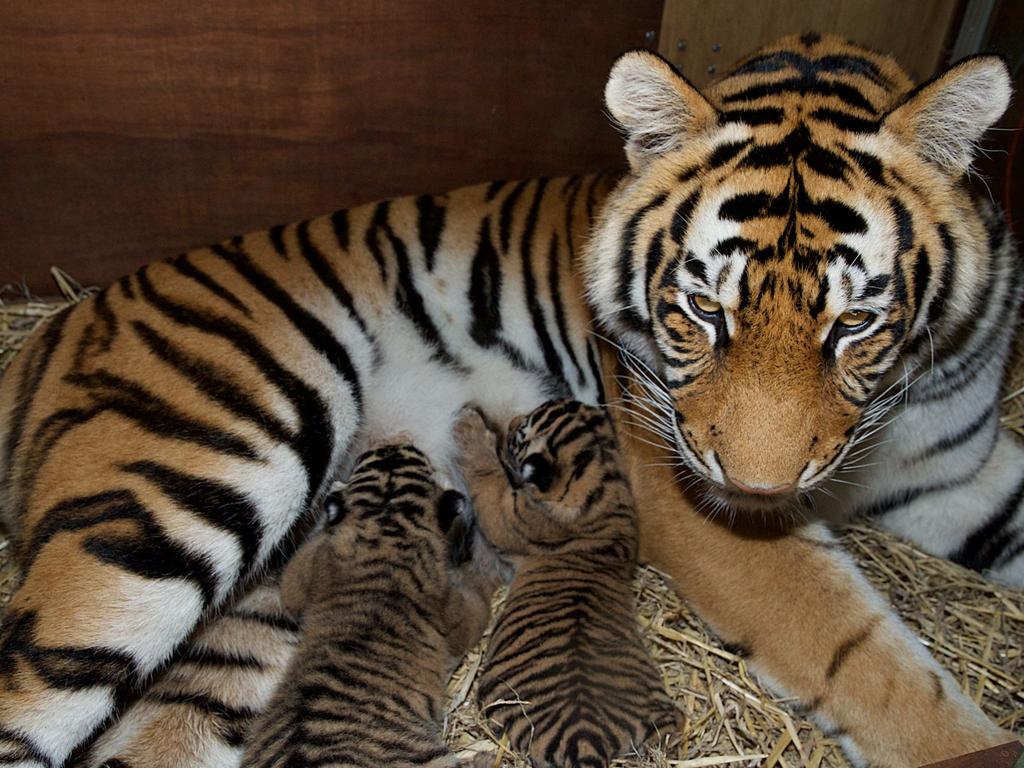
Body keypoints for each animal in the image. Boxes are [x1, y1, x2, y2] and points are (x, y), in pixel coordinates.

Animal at [0, 31, 1011, 768]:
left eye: (855, 321)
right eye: (703, 310)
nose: (758, 491)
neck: (896, 400)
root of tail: (63, 315)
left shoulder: (965, 473)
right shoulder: (704, 510)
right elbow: (869, 661)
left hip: (255, 609)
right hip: (174, 495)